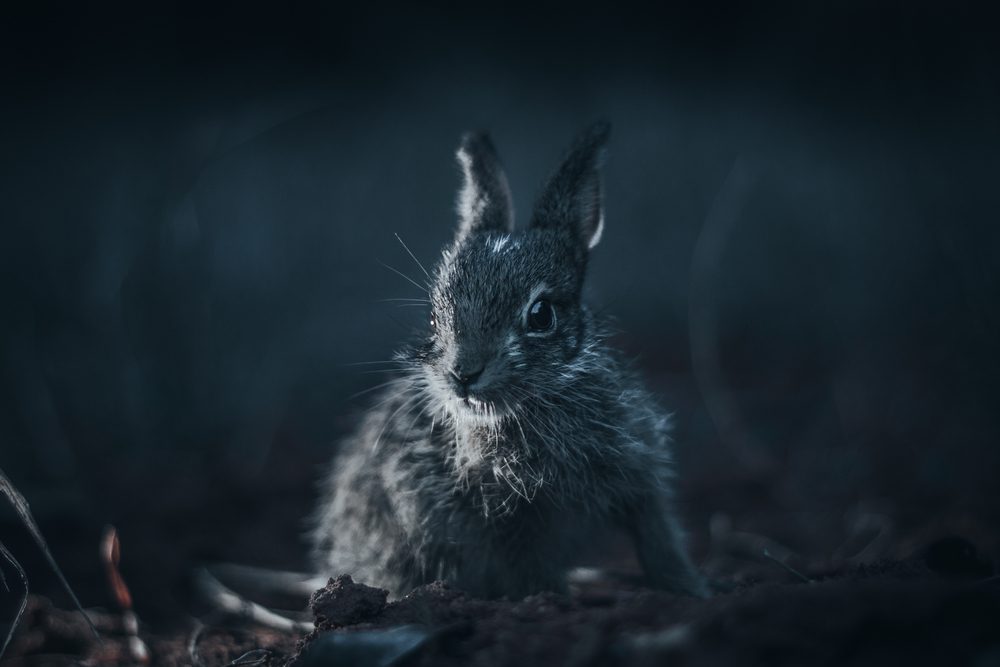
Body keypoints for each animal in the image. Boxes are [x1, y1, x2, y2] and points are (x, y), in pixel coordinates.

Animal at [310, 121, 708, 600]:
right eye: (434, 316)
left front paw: (692, 588)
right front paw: (552, 597)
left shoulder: (637, 472)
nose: (463, 374)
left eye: (541, 315)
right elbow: (530, 565)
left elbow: (658, 535)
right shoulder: (509, 517)